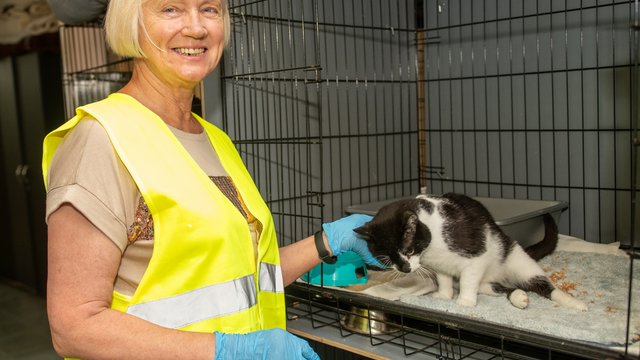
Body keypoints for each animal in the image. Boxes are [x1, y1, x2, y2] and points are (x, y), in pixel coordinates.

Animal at [358, 193, 588, 310]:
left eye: (409, 249)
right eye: (386, 258)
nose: (405, 269)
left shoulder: (475, 254)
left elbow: (469, 279)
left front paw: (465, 302)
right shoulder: (439, 264)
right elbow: (444, 278)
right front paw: (443, 295)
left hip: (517, 259)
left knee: (542, 284)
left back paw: (574, 303)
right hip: (491, 284)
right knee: (502, 288)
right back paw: (518, 297)